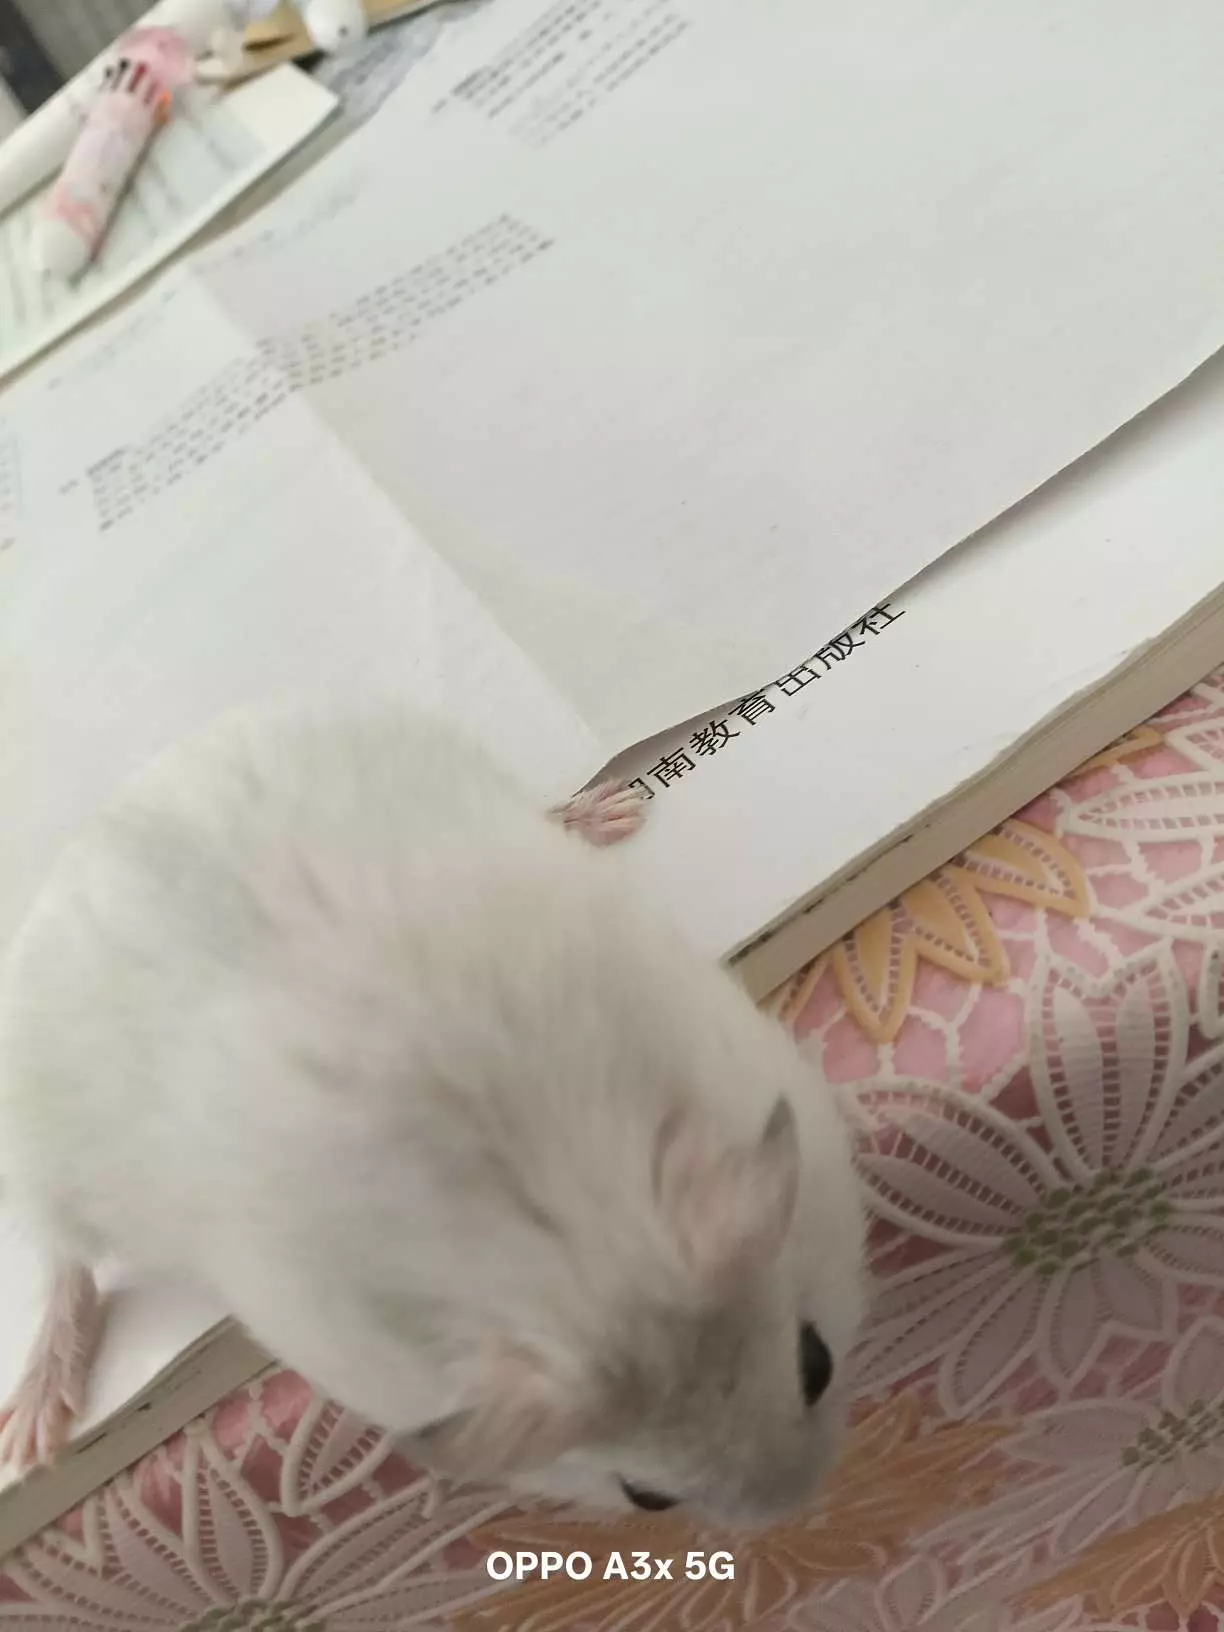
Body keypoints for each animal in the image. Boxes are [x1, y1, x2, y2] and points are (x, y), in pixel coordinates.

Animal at [0, 703, 865, 1528]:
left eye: (816, 1360)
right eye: (645, 1497)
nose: (805, 1505)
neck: (577, 1248)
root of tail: (81, 846)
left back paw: (609, 811)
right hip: (53, 1155)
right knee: (64, 1260)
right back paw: (32, 1435)